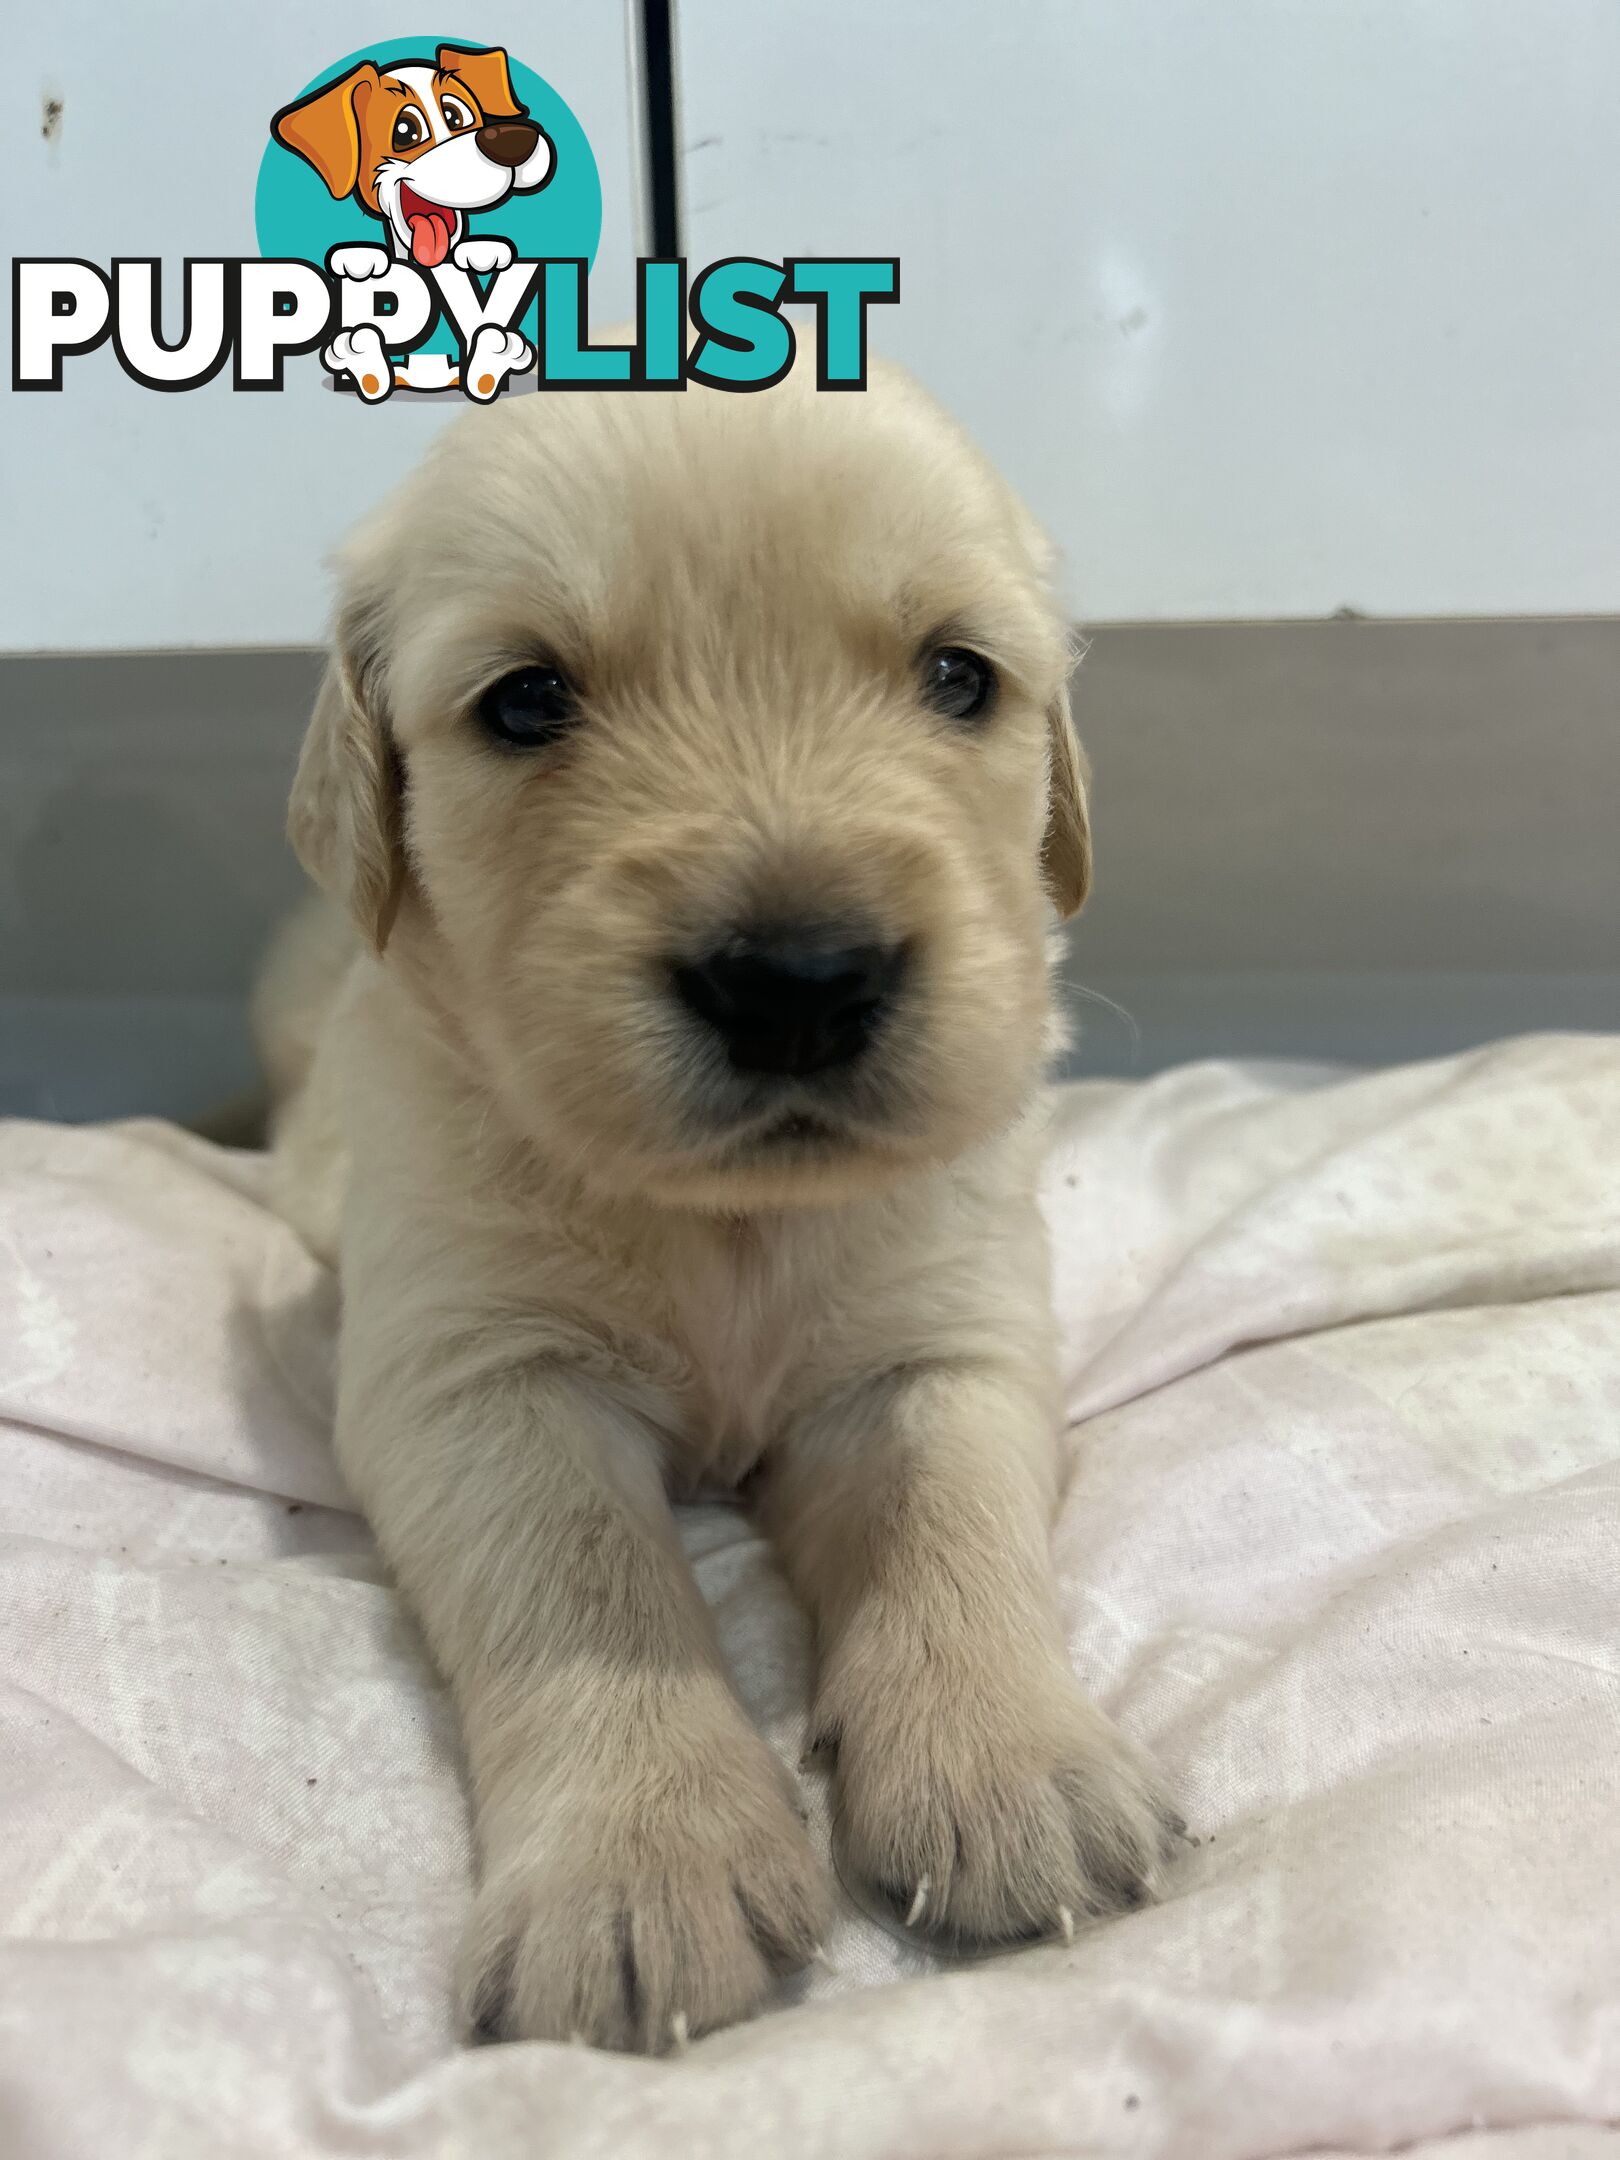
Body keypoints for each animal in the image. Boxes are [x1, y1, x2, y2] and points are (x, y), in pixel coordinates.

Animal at [263, 349, 1183, 2039]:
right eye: (527, 700)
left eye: (960, 678)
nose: (800, 982)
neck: (728, 1222)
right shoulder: (477, 1376)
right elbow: (587, 1585)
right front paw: (636, 1869)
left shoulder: (941, 1338)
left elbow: (949, 1525)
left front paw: (1018, 1768)